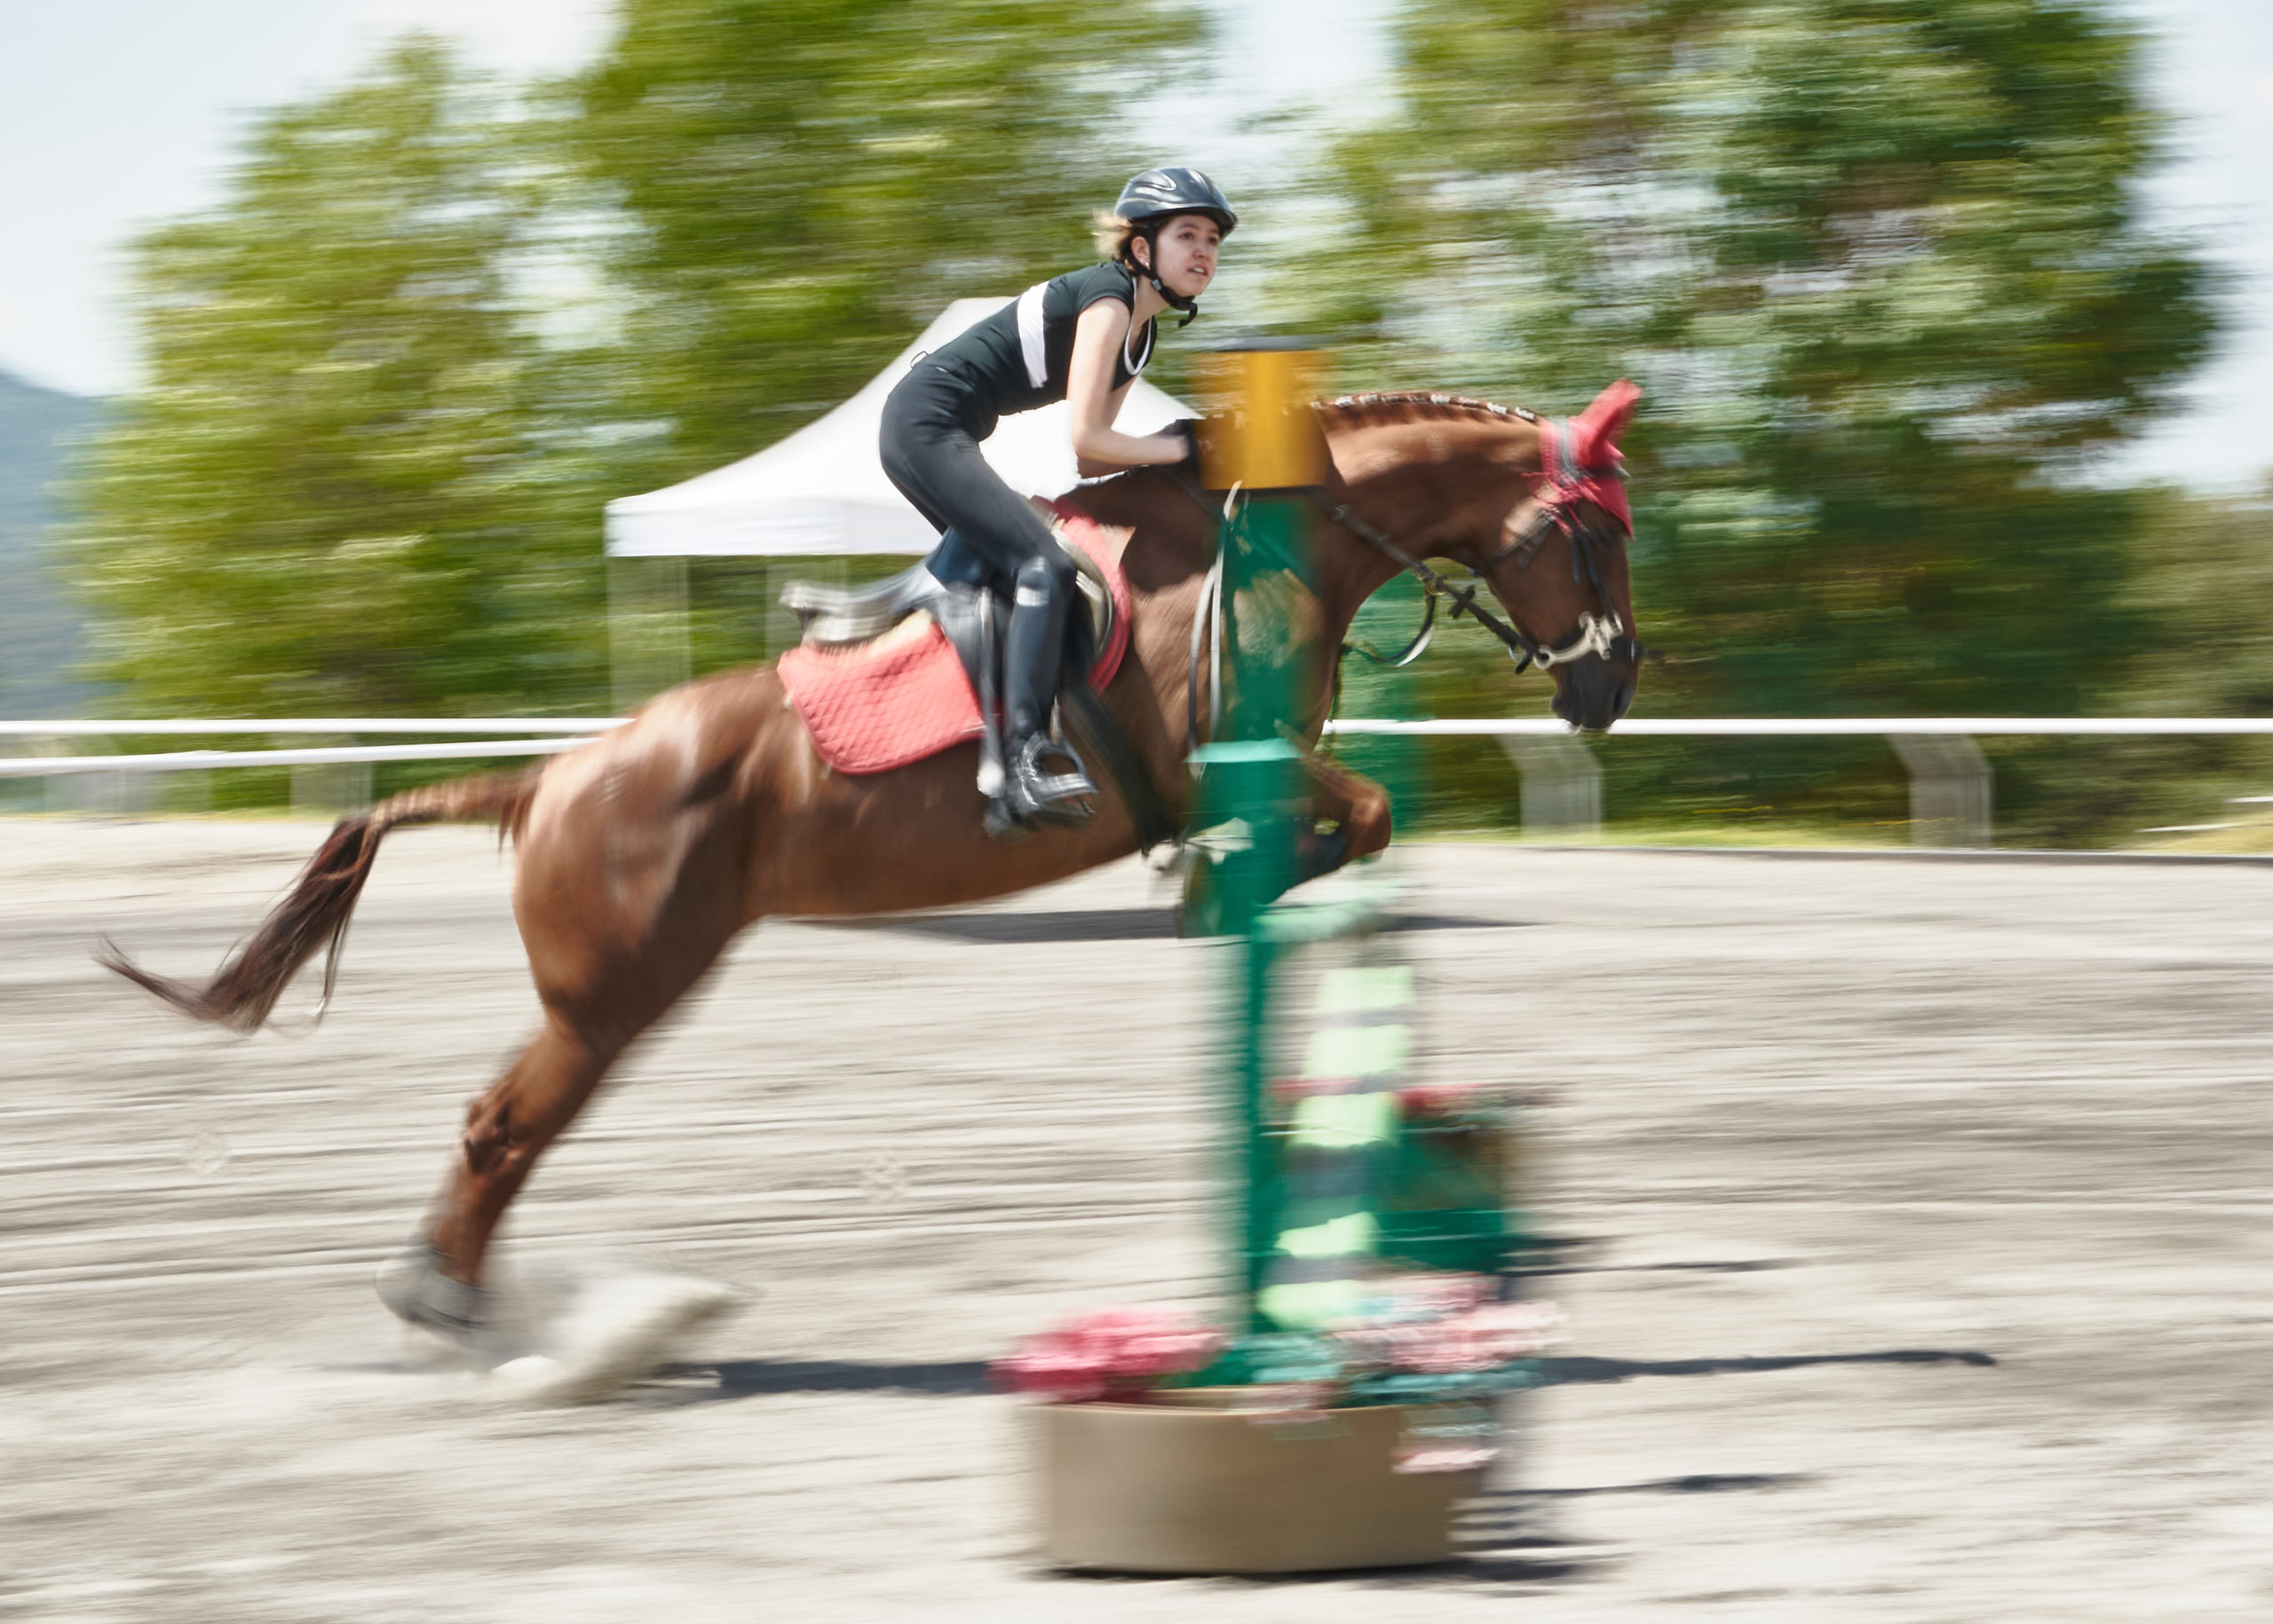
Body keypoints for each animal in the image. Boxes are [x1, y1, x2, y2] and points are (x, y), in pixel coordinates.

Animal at [104, 383, 1643, 1373]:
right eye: (1598, 535)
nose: (1613, 686)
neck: (1267, 550)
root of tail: (544, 780)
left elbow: (1357, 821)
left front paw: (1222, 894)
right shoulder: (1227, 759)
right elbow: (1360, 813)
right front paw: (1219, 890)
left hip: (612, 996)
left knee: (503, 1130)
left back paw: (470, 1307)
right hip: (613, 998)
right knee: (501, 1132)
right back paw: (473, 1318)